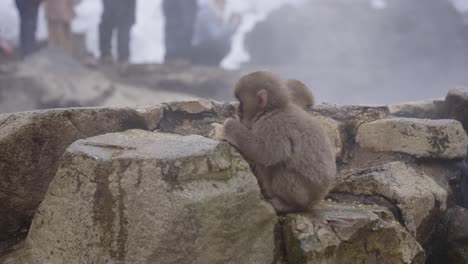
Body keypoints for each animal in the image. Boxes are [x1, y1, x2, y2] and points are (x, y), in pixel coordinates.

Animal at [223, 70, 336, 214]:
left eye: (241, 102)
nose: (237, 109)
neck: (272, 110)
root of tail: (316, 200)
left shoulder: (273, 126)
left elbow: (265, 153)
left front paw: (230, 126)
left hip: (302, 193)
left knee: (279, 169)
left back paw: (289, 205)